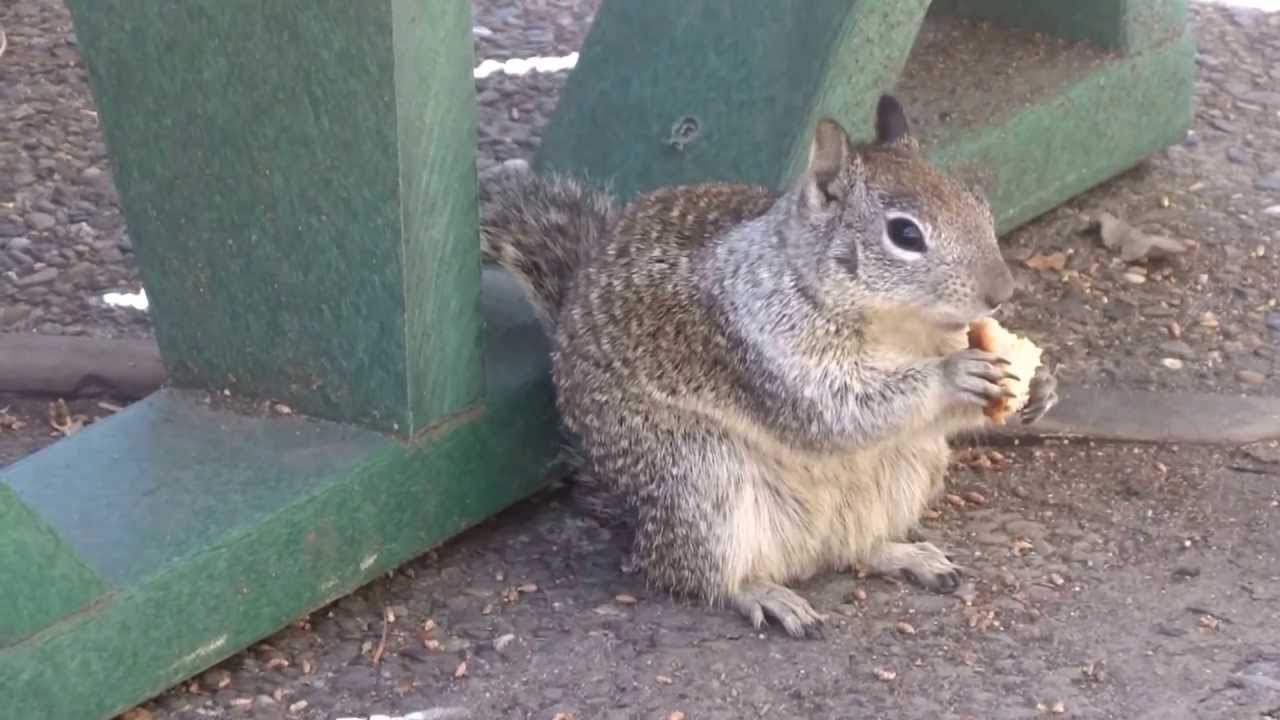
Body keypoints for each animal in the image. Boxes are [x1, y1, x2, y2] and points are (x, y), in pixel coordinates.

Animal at [481, 94, 1059, 632]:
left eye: (979, 205)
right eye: (906, 234)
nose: (1002, 293)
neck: (897, 331)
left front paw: (1042, 386)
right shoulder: (761, 345)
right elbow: (839, 411)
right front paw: (953, 376)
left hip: (907, 467)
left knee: (851, 547)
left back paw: (902, 554)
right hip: (699, 482)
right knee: (696, 575)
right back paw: (762, 593)